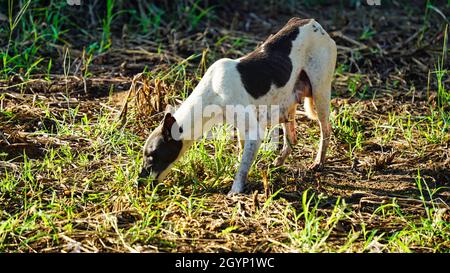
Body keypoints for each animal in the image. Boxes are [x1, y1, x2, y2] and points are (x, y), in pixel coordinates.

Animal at [139, 17, 336, 193]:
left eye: (151, 157)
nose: (137, 182)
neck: (213, 90)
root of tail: (313, 22)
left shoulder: (254, 132)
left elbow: (242, 168)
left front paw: (235, 190)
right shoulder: (242, 129)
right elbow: (243, 157)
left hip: (320, 94)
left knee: (326, 130)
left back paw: (318, 162)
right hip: (287, 107)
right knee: (292, 138)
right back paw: (279, 162)